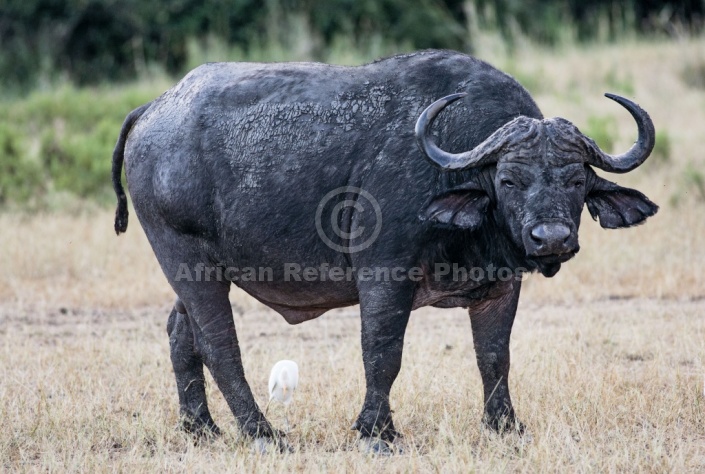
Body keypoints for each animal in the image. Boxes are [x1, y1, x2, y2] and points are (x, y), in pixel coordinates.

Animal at [110, 50, 656, 450]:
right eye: (509, 179)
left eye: (576, 179)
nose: (551, 238)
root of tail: (155, 107)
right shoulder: (384, 277)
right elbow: (382, 353)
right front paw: (377, 431)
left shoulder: (502, 286)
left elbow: (495, 357)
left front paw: (505, 427)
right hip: (188, 261)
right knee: (219, 343)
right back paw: (262, 433)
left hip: (192, 271)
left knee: (181, 333)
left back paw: (200, 429)